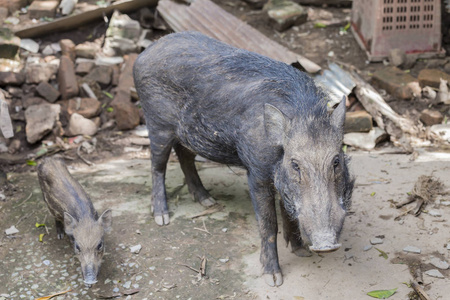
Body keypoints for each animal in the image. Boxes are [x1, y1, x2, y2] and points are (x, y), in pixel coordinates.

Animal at [38, 157, 112, 286]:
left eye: (100, 245)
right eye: (77, 246)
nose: (90, 281)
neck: (85, 218)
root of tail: (48, 158)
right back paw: (60, 235)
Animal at [132, 31, 354, 286]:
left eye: (336, 161)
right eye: (295, 164)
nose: (326, 245)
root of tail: (144, 53)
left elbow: (288, 212)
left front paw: (301, 252)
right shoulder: (256, 172)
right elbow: (269, 223)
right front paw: (274, 279)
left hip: (188, 134)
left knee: (185, 156)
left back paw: (208, 201)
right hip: (157, 123)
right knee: (157, 165)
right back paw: (162, 218)